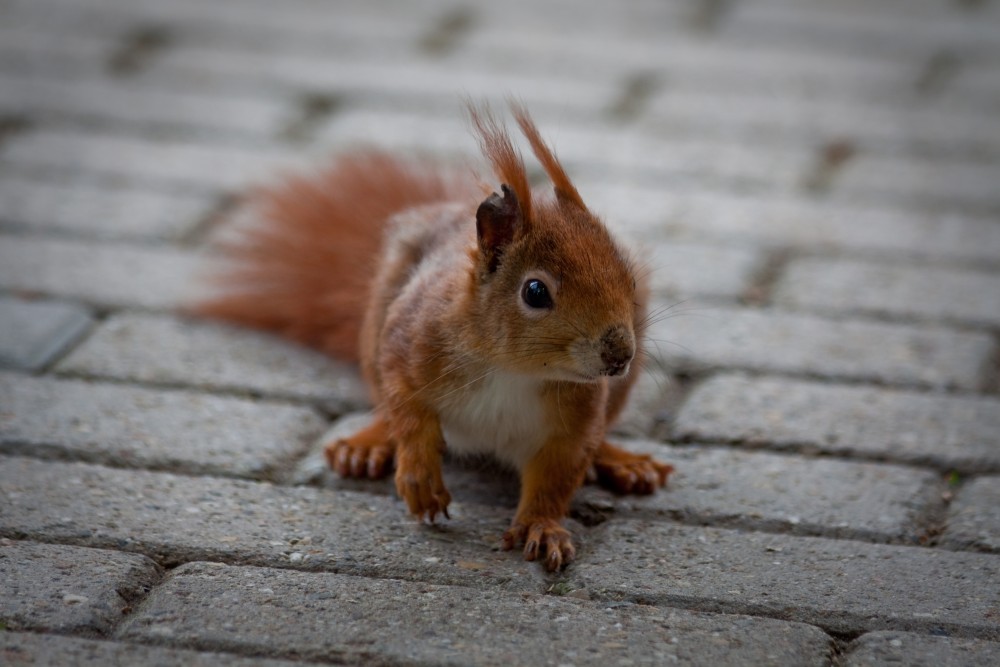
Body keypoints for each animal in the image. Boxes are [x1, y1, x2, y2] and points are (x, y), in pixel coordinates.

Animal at [197, 103, 672, 568]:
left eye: (628, 278)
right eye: (535, 292)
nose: (619, 354)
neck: (514, 371)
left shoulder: (574, 422)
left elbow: (557, 476)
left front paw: (543, 526)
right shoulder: (408, 343)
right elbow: (408, 409)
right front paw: (420, 478)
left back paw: (622, 461)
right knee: (385, 406)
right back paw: (367, 443)